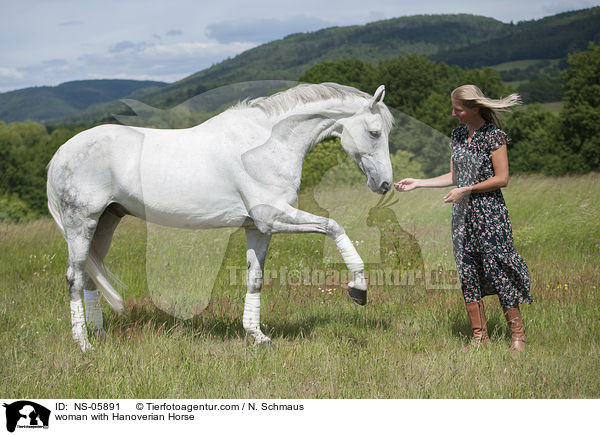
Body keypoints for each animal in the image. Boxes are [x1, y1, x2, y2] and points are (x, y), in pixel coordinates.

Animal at [47, 82, 394, 350]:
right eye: (375, 132)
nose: (385, 184)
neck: (266, 144)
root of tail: (61, 153)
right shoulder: (274, 216)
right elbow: (333, 227)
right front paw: (358, 289)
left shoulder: (259, 228)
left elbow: (255, 278)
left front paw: (258, 336)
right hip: (82, 223)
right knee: (74, 278)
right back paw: (85, 344)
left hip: (105, 222)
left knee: (90, 276)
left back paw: (101, 335)